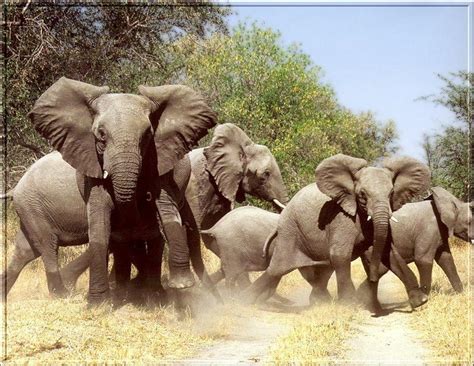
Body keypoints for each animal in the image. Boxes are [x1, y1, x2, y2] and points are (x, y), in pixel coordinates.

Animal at [0, 77, 216, 304]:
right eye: (101, 135)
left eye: (148, 135)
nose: (148, 196)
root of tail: (16, 187)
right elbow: (101, 227)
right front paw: (101, 302)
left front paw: (151, 294)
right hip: (32, 207)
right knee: (47, 246)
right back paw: (62, 295)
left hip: (29, 210)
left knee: (25, 251)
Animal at [243, 153, 432, 314]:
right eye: (362, 194)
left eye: (391, 193)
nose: (371, 278)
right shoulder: (340, 218)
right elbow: (340, 255)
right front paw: (350, 304)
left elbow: (389, 253)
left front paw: (421, 301)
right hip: (290, 231)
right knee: (276, 269)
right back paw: (240, 301)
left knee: (320, 271)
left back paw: (320, 301)